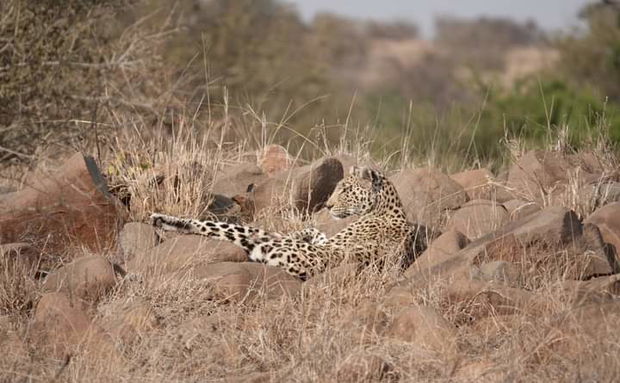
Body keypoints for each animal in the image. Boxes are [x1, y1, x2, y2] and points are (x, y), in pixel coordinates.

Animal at [151, 166, 432, 280]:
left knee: (229, 229)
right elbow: (315, 231)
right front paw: (306, 231)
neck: (387, 208)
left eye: (345, 190)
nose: (328, 206)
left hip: (265, 243)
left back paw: (163, 220)